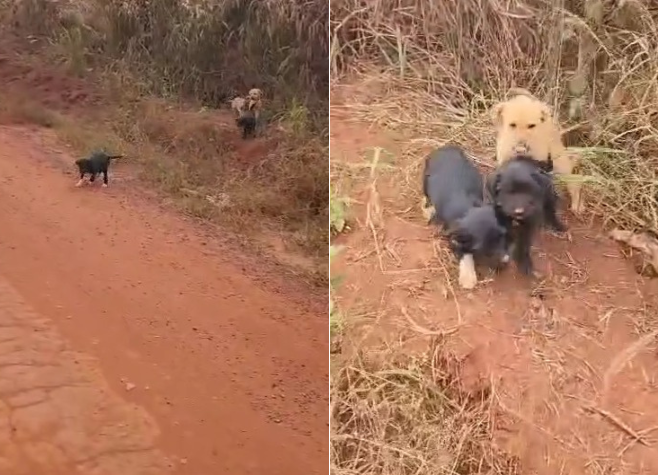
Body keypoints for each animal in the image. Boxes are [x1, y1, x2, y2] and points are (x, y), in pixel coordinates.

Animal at [422, 145, 510, 290]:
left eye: (503, 237)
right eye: (485, 248)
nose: (506, 260)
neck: (466, 209)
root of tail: (445, 148)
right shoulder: (454, 237)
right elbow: (465, 253)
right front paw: (468, 279)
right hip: (425, 179)